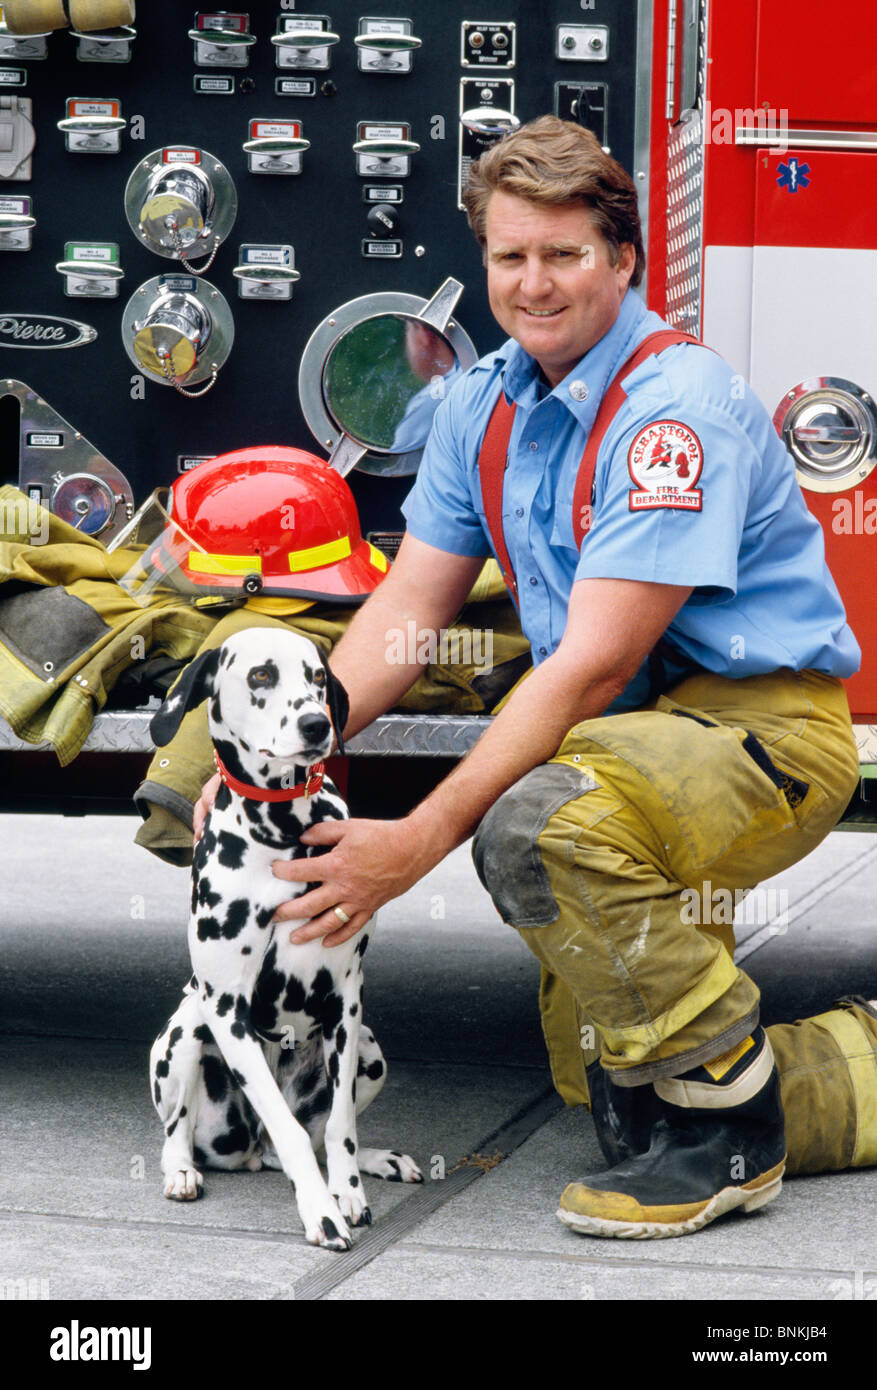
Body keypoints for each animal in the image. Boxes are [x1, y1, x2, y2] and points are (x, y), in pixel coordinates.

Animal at [149, 631, 422, 1251]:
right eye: (260, 676)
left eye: (317, 677)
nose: (316, 724)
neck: (284, 834)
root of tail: (254, 1152)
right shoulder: (228, 1010)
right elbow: (291, 1130)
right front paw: (320, 1212)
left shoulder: (346, 1001)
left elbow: (339, 1126)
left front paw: (346, 1193)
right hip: (183, 1035)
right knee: (181, 1130)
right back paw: (181, 1171)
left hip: (371, 1051)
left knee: (320, 1135)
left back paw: (377, 1160)